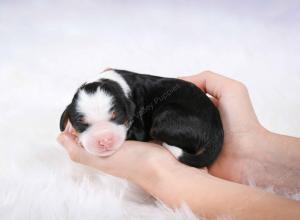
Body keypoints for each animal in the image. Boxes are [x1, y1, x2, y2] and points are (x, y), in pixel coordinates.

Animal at [59, 69, 223, 168]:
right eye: (82, 124)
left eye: (117, 117)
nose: (104, 140)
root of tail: (217, 132)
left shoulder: (139, 130)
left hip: (164, 122)